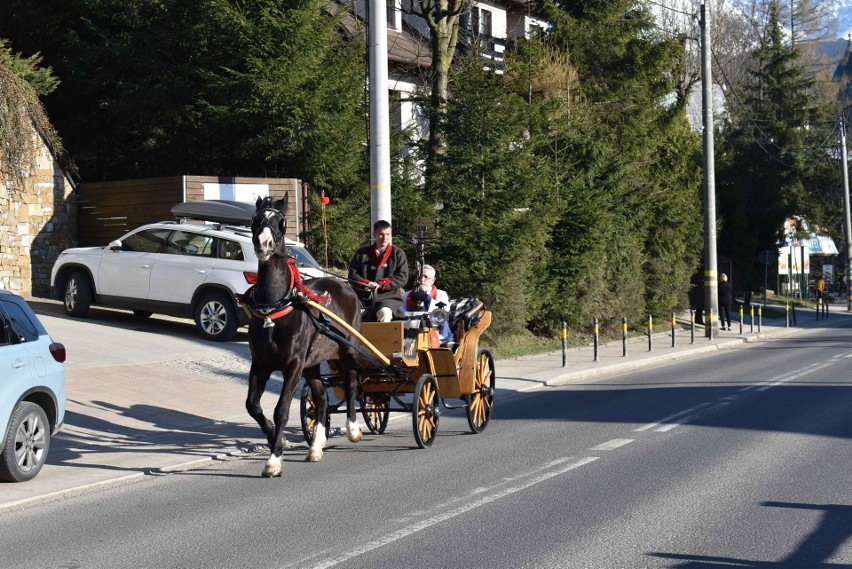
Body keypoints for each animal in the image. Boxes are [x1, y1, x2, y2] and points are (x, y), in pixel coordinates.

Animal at [243, 195, 362, 474]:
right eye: (256, 219)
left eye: (281, 221)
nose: (263, 244)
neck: (273, 309)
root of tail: (344, 285)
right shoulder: (261, 364)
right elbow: (253, 405)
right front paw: (276, 438)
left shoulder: (293, 365)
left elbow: (281, 410)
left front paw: (274, 459)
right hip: (312, 363)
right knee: (320, 398)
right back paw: (316, 445)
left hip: (347, 348)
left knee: (351, 382)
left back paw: (352, 428)